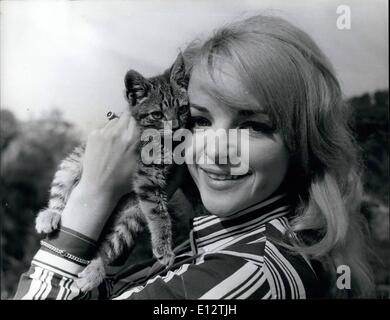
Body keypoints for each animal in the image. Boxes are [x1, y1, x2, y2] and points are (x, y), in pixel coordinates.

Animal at [35, 53, 190, 292]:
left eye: (182, 109)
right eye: (157, 114)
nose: (175, 127)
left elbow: (158, 210)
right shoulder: (147, 176)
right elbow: (159, 213)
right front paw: (164, 247)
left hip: (131, 216)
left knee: (109, 247)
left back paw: (94, 272)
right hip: (72, 164)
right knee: (60, 192)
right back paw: (49, 215)